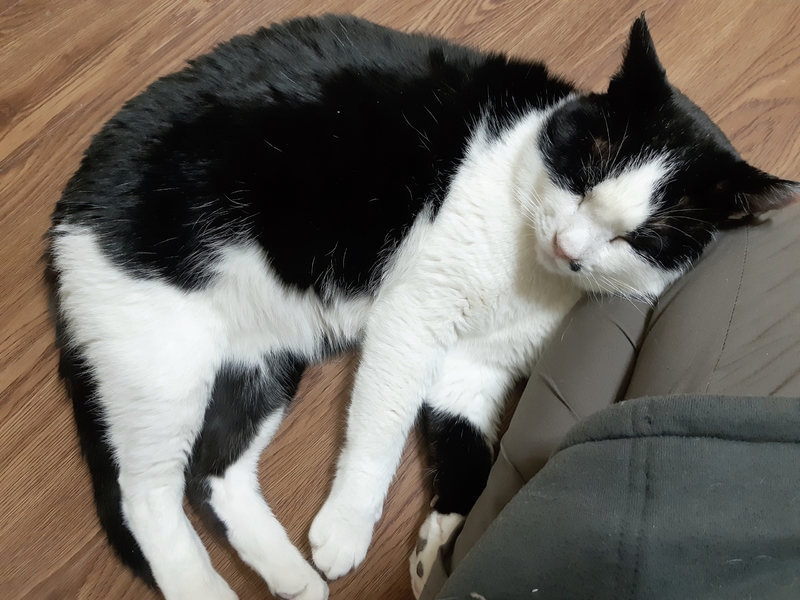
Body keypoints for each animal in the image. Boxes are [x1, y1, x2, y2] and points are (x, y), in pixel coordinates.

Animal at [46, 12, 798, 600]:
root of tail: (71, 201)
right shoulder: (416, 310)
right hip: (163, 355)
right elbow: (381, 425)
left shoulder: (476, 370)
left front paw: (444, 536)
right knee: (145, 494)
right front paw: (348, 524)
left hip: (266, 356)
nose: (568, 246)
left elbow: (470, 446)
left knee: (212, 471)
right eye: (585, 173)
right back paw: (207, 586)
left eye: (639, 238)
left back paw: (290, 576)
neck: (531, 275)